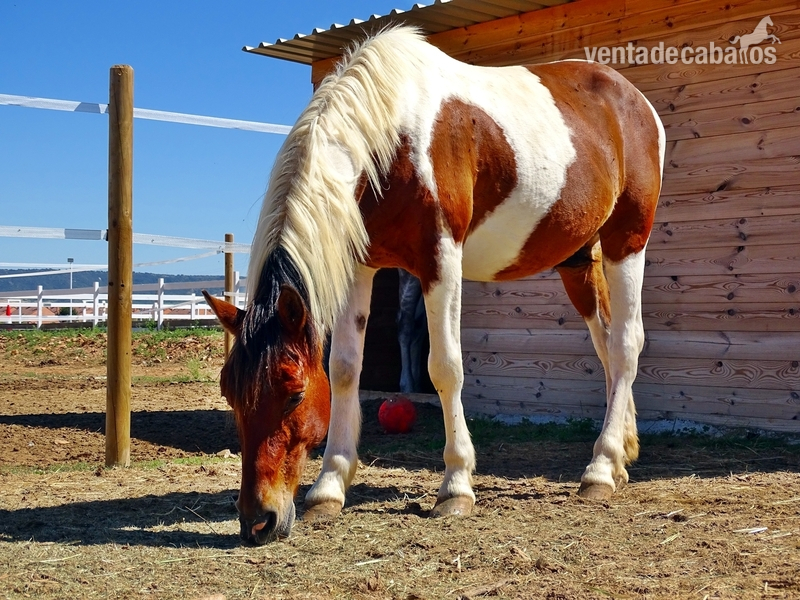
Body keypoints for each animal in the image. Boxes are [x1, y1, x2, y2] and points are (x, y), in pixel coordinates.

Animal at [204, 26, 665, 545]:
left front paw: (456, 486)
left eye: (295, 393)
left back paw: (600, 470)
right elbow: (344, 368)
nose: (256, 520)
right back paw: (621, 454)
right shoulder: (360, 266)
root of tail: (635, 101)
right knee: (607, 345)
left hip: (627, 242)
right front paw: (329, 488)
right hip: (578, 260)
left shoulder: (441, 260)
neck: (391, 134)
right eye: (229, 393)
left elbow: (445, 368)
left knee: (626, 344)